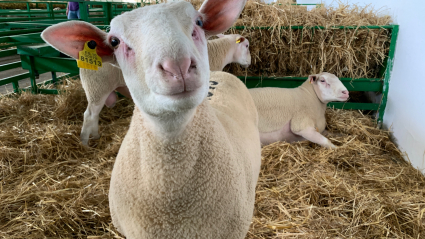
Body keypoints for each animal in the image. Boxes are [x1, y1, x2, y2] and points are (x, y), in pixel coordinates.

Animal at [78, 32, 250, 145]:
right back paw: (85, 143)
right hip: (97, 87)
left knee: (94, 115)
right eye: (247, 46)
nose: (249, 62)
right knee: (89, 115)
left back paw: (95, 136)